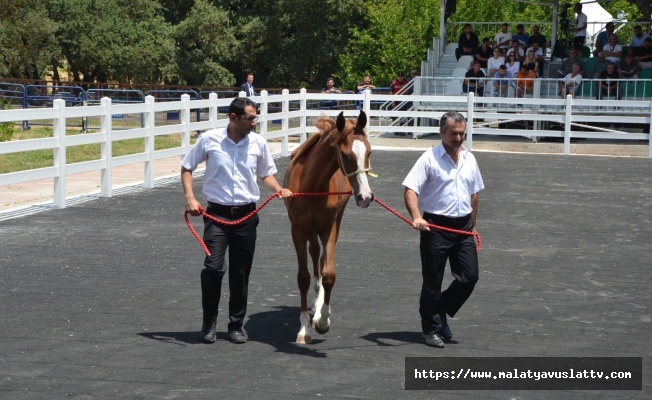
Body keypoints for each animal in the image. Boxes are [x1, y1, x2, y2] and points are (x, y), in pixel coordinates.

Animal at [284, 111, 372, 344]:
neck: (313, 185)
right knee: (315, 254)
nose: (366, 197)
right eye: (344, 154)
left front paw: (322, 321)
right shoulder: (297, 230)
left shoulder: (329, 228)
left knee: (322, 258)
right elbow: (303, 277)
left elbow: (329, 273)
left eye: (369, 152)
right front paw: (303, 329)